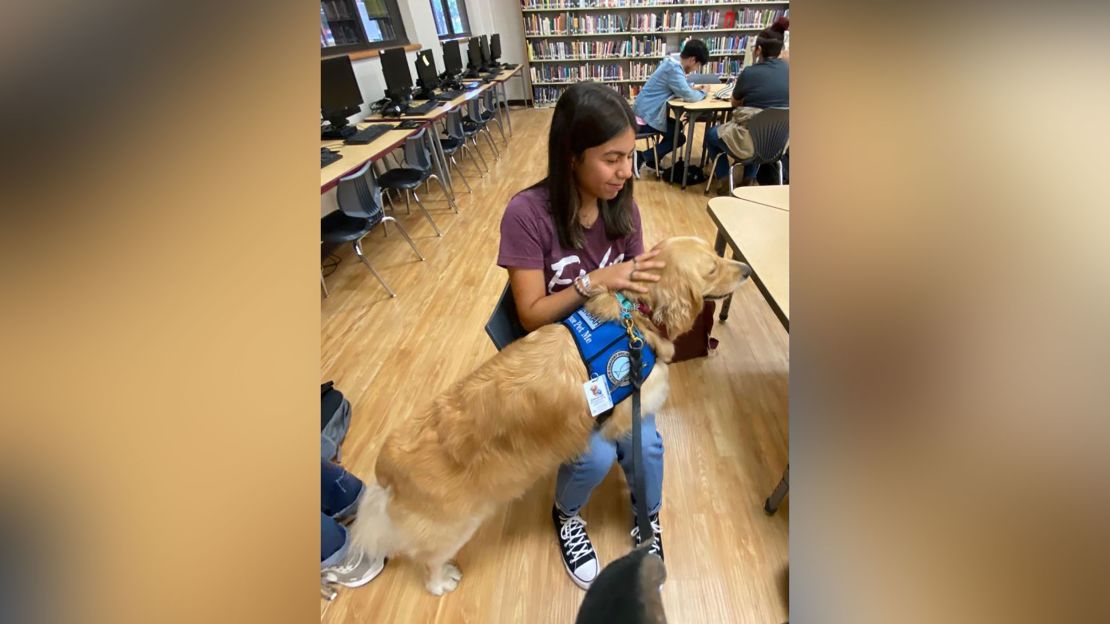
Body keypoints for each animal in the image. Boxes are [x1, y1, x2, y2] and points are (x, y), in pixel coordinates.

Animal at [348, 234, 745, 590]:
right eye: (712, 267)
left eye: (715, 254)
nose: (744, 269)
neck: (633, 316)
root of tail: (386, 469)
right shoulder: (629, 407)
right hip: (455, 527)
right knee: (428, 562)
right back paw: (442, 580)